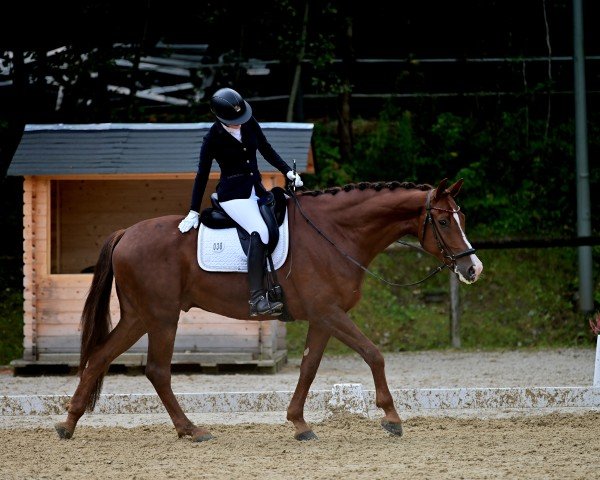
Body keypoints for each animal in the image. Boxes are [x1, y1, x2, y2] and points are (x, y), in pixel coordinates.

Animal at [55, 177, 482, 442]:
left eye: (462, 217)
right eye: (444, 221)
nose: (473, 269)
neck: (336, 234)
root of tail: (126, 232)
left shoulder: (323, 318)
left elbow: (309, 368)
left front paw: (299, 424)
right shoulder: (330, 313)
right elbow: (373, 354)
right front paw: (391, 418)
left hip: (139, 316)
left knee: (99, 357)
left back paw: (69, 423)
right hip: (161, 318)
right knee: (156, 370)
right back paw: (192, 430)